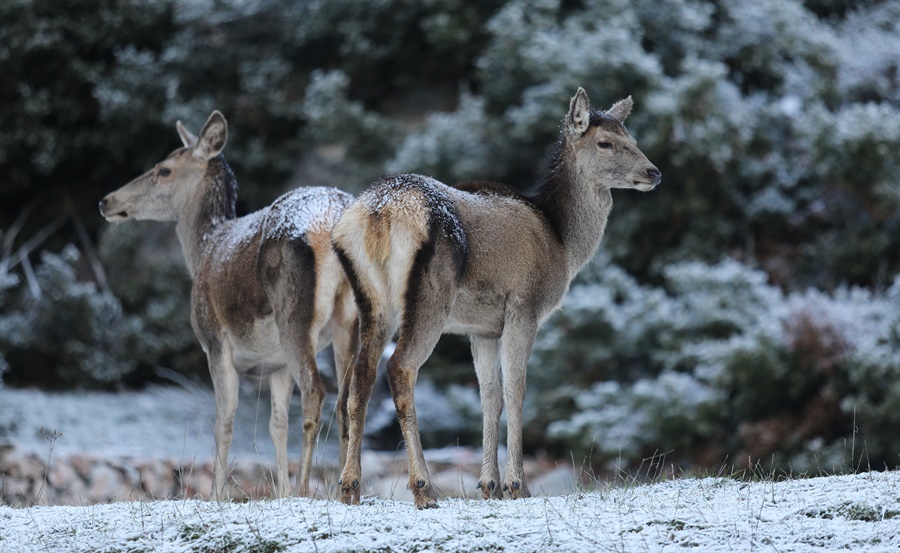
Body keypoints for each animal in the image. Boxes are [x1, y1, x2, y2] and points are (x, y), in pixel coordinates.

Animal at [95, 110, 356, 498]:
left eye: (163, 170)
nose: (107, 201)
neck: (203, 248)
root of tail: (330, 220)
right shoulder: (275, 363)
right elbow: (276, 424)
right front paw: (280, 493)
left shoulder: (214, 340)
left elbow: (224, 421)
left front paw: (217, 496)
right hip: (354, 318)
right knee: (349, 397)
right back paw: (346, 490)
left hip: (294, 314)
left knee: (316, 391)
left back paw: (307, 489)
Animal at [330, 88, 660, 506]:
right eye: (605, 142)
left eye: (631, 137)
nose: (653, 172)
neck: (562, 242)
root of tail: (378, 214)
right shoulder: (524, 306)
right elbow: (516, 391)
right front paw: (517, 485)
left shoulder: (482, 327)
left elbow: (489, 395)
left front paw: (488, 484)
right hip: (430, 293)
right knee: (400, 367)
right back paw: (423, 487)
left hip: (370, 298)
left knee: (359, 376)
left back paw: (349, 486)